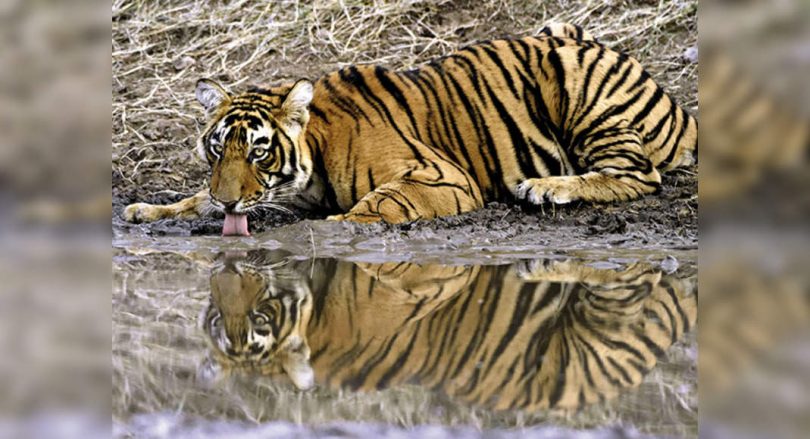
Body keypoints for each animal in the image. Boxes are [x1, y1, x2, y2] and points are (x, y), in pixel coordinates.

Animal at [123, 23, 697, 236]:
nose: (229, 203)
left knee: (639, 174)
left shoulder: (441, 175)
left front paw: (335, 226)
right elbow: (194, 198)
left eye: (260, 151)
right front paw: (148, 209)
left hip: (577, 82)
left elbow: (382, 202)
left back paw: (545, 188)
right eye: (217, 150)